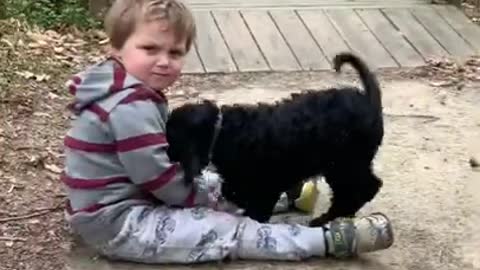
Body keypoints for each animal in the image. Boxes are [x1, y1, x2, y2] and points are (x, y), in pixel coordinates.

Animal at [167, 52, 384, 226]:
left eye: (172, 138)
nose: (166, 153)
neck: (222, 131)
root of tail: (369, 100)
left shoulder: (267, 184)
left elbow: (255, 206)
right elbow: (235, 191)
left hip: (345, 164)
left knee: (363, 188)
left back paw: (326, 219)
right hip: (345, 164)